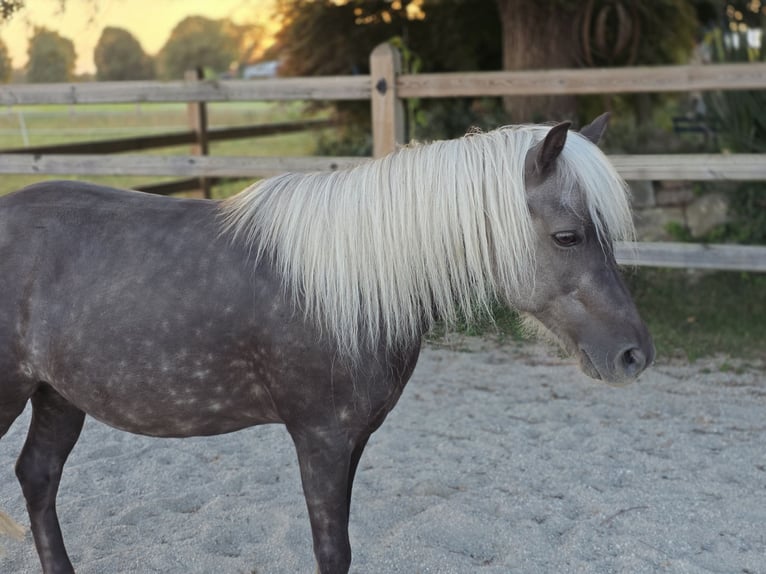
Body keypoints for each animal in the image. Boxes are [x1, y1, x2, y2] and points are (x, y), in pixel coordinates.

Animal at [0, 113, 653, 574]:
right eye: (567, 236)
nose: (634, 355)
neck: (352, 283)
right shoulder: (320, 438)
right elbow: (332, 550)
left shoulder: (352, 439)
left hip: (59, 397)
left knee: (38, 476)